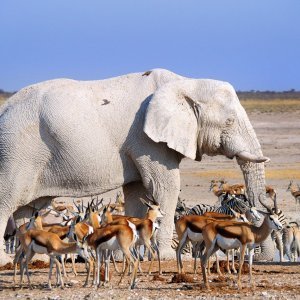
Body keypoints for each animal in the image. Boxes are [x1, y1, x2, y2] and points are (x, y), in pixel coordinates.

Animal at [0, 68, 272, 264]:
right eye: (229, 121)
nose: (263, 258)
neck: (185, 82)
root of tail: (4, 108)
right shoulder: (147, 140)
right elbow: (165, 186)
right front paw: (166, 257)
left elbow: (137, 192)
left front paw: (125, 256)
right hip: (17, 151)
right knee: (8, 199)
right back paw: (7, 261)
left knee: (28, 208)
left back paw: (37, 259)